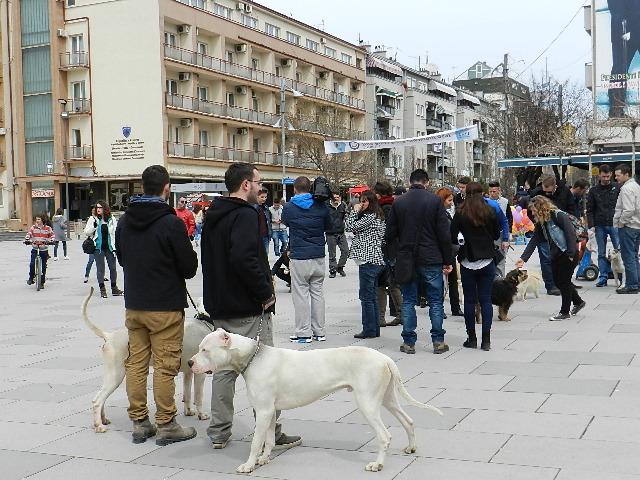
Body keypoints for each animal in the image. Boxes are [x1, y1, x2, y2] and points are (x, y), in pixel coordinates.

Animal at [80, 286, 212, 434]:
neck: (203, 321)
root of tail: (109, 336)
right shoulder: (200, 374)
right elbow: (198, 396)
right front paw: (202, 415)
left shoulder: (188, 372)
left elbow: (187, 394)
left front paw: (189, 411)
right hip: (116, 375)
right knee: (97, 400)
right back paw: (99, 426)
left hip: (111, 374)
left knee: (101, 398)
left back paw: (103, 420)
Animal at [188, 330, 442, 472]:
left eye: (205, 349)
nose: (190, 362)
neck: (253, 357)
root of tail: (385, 358)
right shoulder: (269, 411)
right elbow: (268, 440)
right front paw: (264, 459)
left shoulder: (262, 411)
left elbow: (255, 442)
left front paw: (249, 465)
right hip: (387, 398)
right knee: (408, 420)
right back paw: (411, 447)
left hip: (367, 403)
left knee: (384, 435)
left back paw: (377, 465)